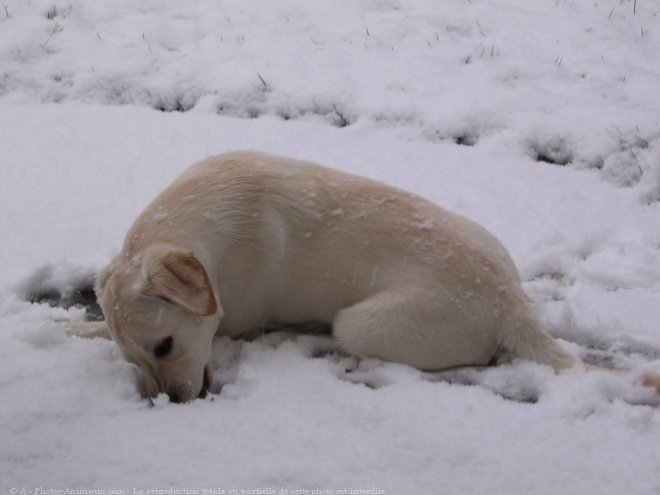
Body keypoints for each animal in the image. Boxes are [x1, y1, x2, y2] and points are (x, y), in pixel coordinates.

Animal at [68, 151, 660, 404]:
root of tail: (510, 306)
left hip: (360, 324)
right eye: (137, 360)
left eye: (166, 346)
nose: (169, 402)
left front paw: (72, 327)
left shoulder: (231, 319)